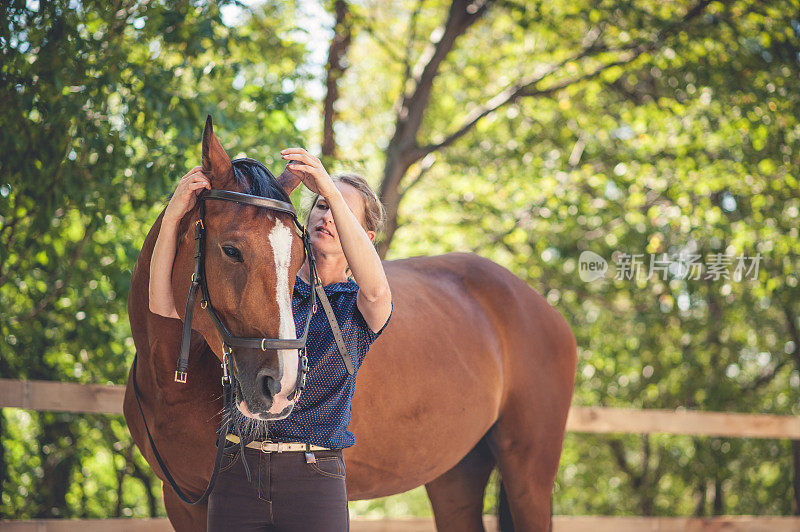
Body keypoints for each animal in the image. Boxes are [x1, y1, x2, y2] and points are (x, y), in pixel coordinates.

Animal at [123, 119, 576, 532]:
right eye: (231, 250)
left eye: (298, 256)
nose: (281, 386)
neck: (168, 380)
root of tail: (543, 307)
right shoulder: (183, 501)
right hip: (456, 474)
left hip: (529, 477)